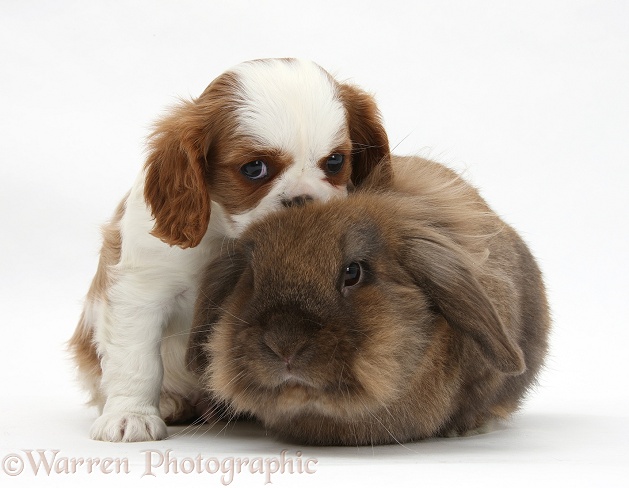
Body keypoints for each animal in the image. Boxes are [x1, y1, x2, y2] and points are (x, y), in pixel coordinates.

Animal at [71, 58, 390, 442]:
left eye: (335, 162)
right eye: (254, 168)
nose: (302, 199)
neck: (226, 235)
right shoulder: (141, 290)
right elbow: (137, 359)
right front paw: (129, 415)